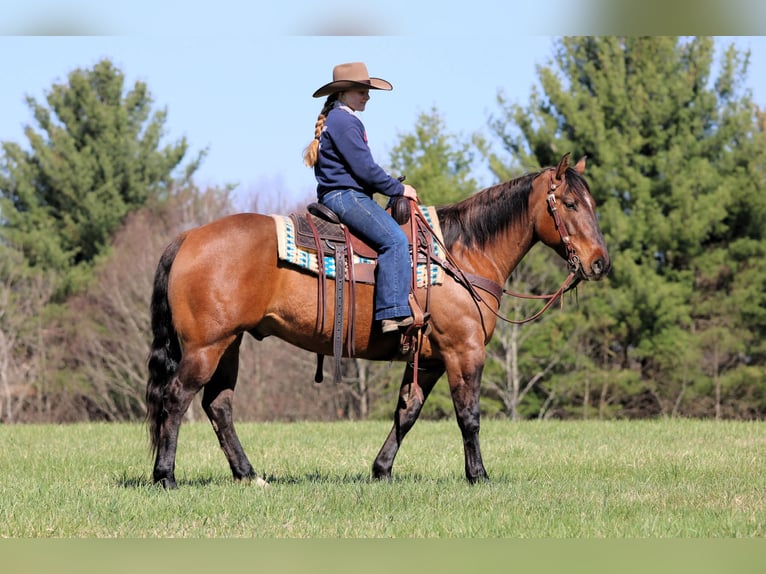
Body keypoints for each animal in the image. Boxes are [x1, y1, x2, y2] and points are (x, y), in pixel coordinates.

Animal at [146, 153, 610, 489]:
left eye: (593, 205)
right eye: (569, 204)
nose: (599, 263)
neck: (460, 254)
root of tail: (187, 238)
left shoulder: (431, 359)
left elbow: (407, 412)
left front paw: (381, 470)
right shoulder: (463, 351)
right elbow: (469, 416)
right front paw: (479, 476)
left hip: (230, 343)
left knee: (218, 405)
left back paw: (248, 475)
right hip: (206, 347)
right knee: (176, 398)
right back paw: (166, 477)